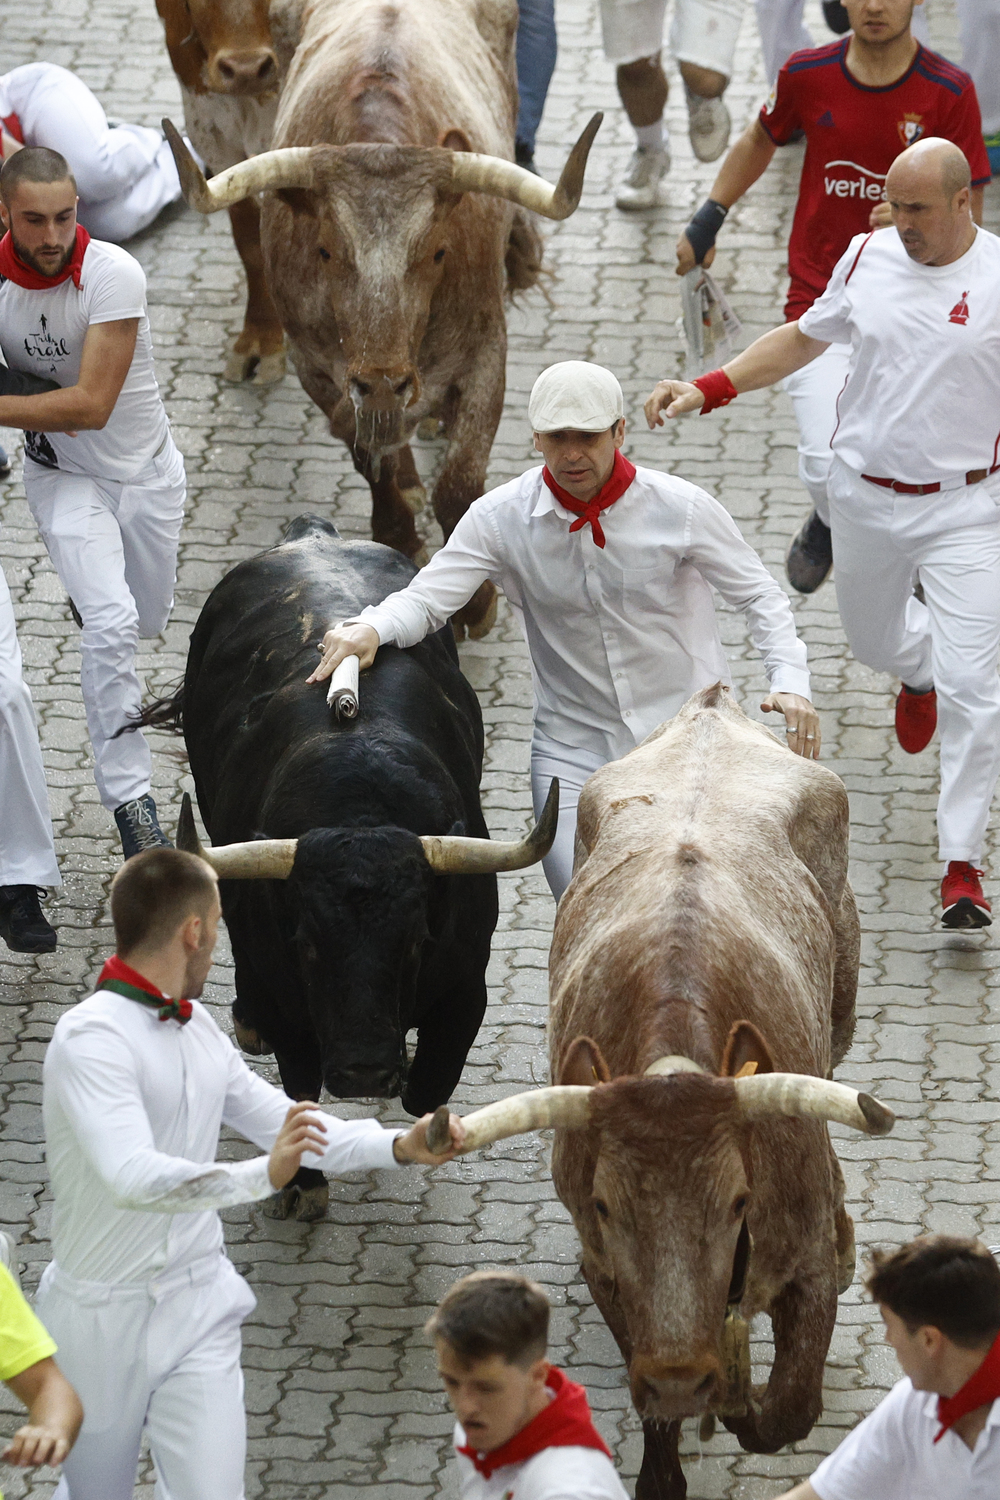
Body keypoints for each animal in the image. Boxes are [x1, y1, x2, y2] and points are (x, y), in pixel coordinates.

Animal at [147, 516, 509, 1206]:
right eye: (309, 944)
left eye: (415, 942)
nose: (365, 1069)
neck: (360, 807)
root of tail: (313, 535)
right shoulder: (285, 990)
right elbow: (299, 1087)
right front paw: (305, 1181)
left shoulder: (464, 988)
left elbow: (428, 1087)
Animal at [425, 687, 893, 1500]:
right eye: (607, 1204)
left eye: (738, 1202)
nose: (680, 1376)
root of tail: (711, 709)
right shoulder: (605, 1265)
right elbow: (660, 1426)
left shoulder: (799, 1261)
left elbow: (787, 1410)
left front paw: (738, 1397)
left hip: (839, 1021)